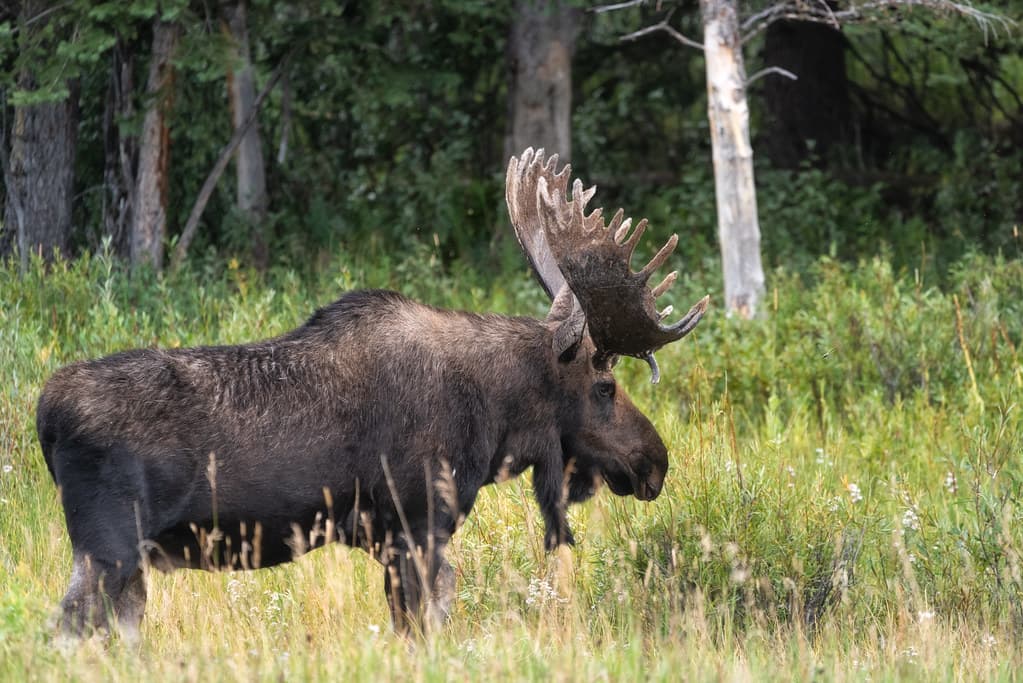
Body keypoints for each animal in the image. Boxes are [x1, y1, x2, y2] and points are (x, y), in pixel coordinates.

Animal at [36, 149, 709, 640]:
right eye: (605, 386)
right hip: (106, 547)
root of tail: (43, 416)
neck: (496, 421)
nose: (655, 462)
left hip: (125, 564)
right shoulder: (418, 523)